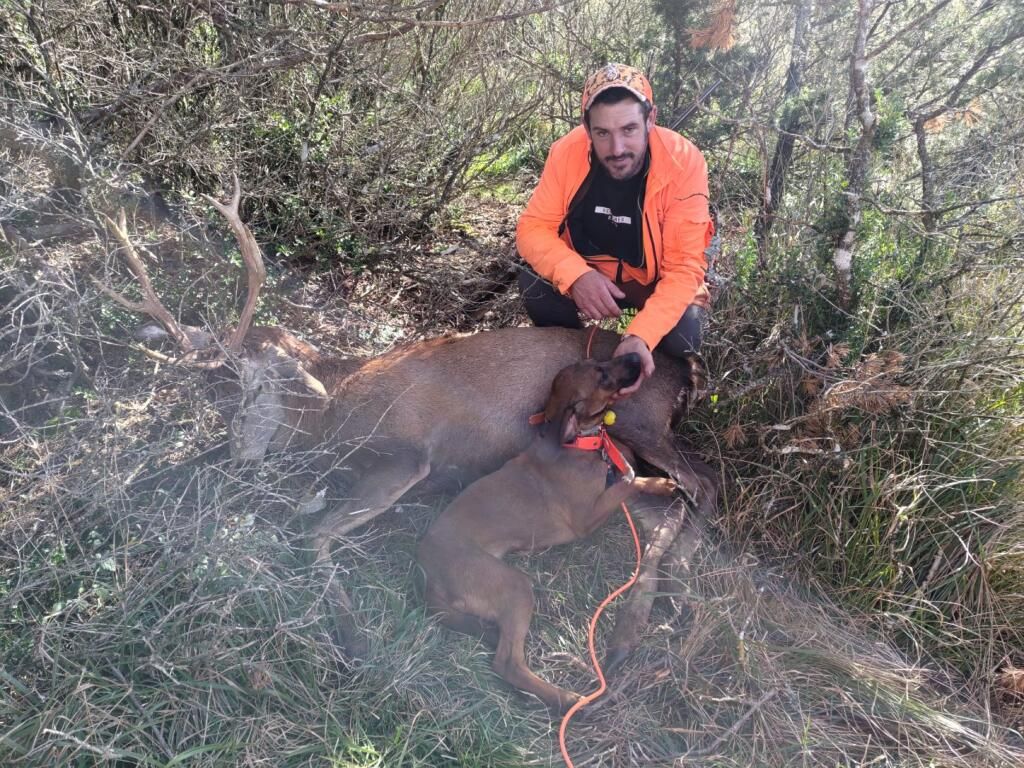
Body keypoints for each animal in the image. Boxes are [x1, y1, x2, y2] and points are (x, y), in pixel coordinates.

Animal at [97, 177, 720, 663]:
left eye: (257, 385)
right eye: (221, 394)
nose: (240, 454)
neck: (334, 413)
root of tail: (682, 370)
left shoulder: (406, 455)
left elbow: (312, 532)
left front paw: (352, 635)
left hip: (640, 420)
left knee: (703, 485)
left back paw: (674, 595)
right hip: (619, 451)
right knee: (664, 507)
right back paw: (632, 630)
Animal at [411, 354, 675, 716]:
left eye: (599, 361)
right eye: (602, 376)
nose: (636, 355)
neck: (576, 441)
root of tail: (426, 571)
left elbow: (633, 478)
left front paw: (661, 483)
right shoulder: (586, 518)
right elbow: (628, 480)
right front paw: (642, 477)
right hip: (514, 586)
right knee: (507, 663)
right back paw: (569, 701)